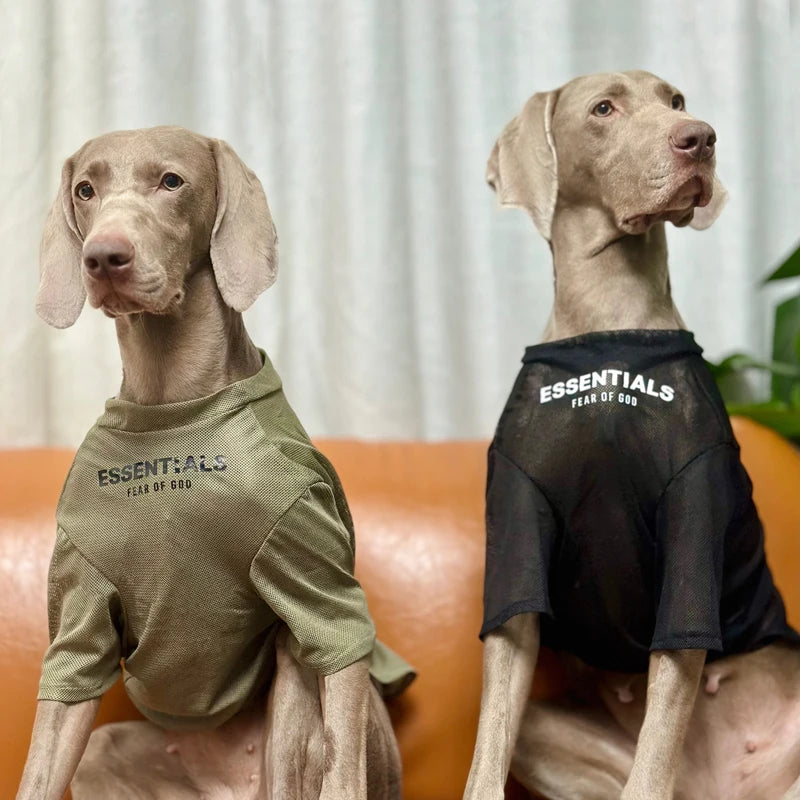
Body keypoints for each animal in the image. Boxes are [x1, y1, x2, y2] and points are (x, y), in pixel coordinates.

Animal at [15, 126, 410, 800]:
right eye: (85, 190)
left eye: (172, 181)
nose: (103, 256)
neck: (172, 405)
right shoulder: (79, 616)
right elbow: (43, 756)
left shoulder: (317, 579)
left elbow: (340, 682)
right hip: (103, 756)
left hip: (292, 691)